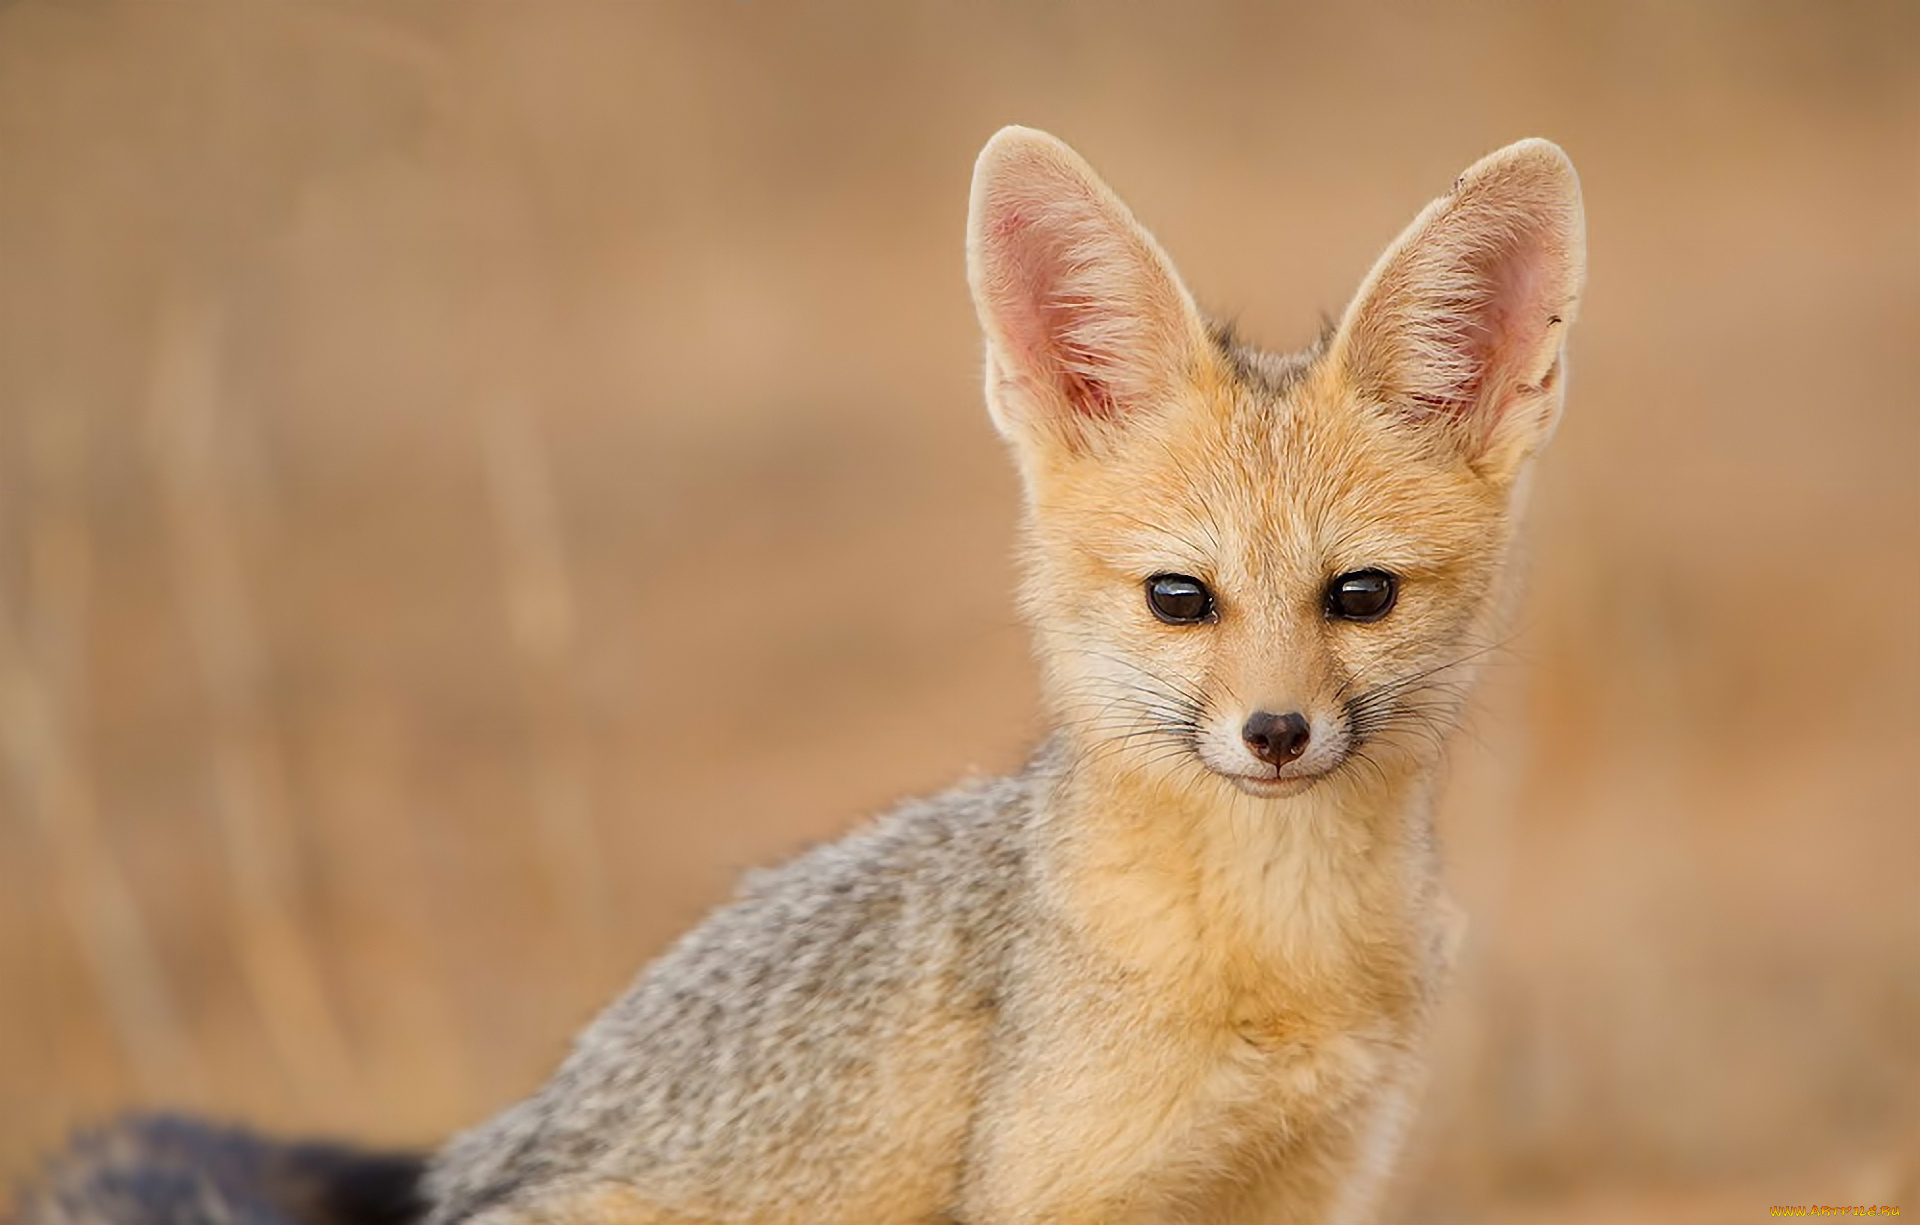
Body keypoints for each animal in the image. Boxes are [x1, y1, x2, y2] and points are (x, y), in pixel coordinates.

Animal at [12, 126, 1583, 1225]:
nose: (1274, 732)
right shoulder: (1057, 1191)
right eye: (1180, 599)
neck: (1275, 956)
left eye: (1359, 595)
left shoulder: (1312, 1182)